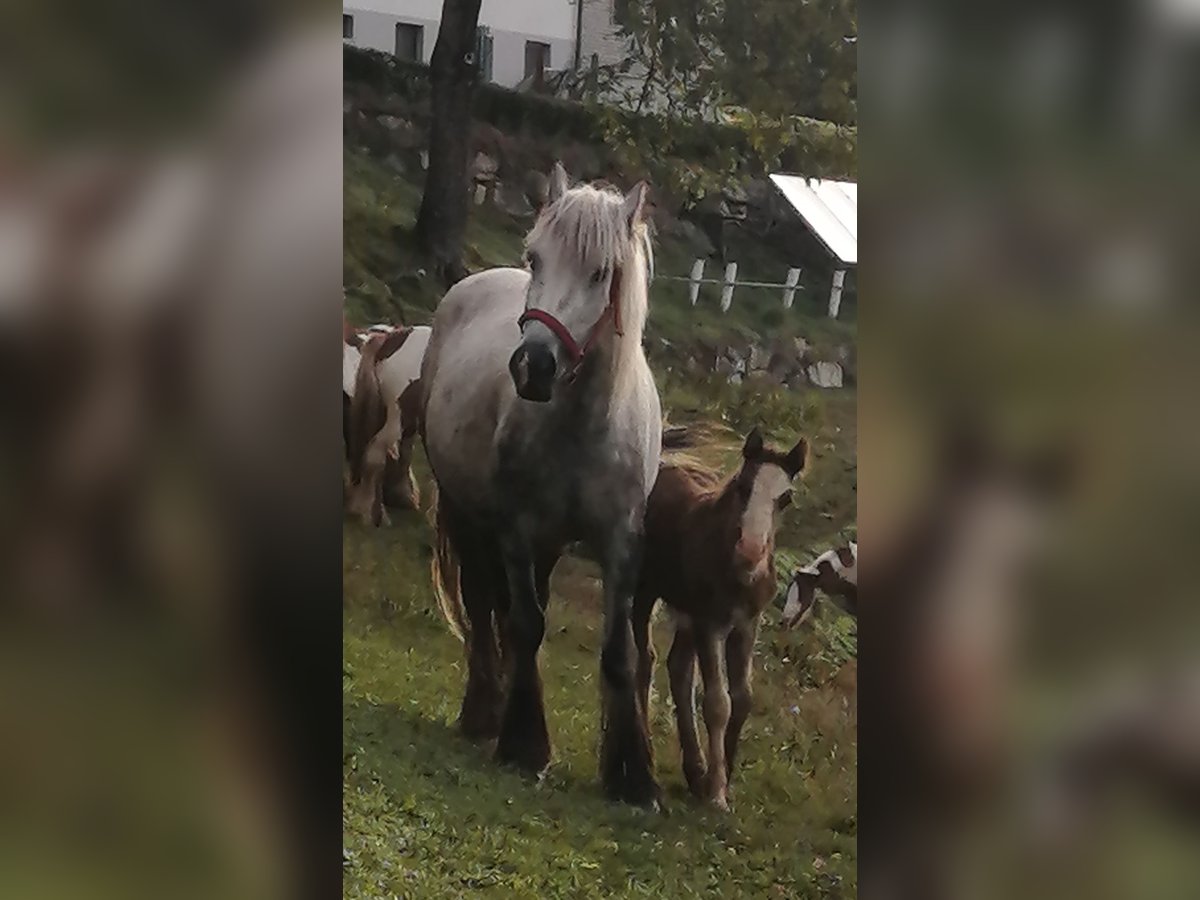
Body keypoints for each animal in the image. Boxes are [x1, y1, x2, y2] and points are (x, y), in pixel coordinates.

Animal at [422, 164, 667, 811]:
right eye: (536, 257)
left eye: (602, 272)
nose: (533, 365)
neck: (582, 426)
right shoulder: (515, 528)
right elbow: (525, 622)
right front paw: (524, 743)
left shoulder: (621, 541)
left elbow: (618, 649)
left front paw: (633, 776)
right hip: (467, 515)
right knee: (486, 605)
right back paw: (484, 711)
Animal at [628, 429, 806, 811]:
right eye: (742, 485)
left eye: (785, 498)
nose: (751, 551)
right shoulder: (709, 623)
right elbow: (717, 703)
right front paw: (717, 792)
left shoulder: (745, 625)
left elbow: (743, 698)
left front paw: (722, 773)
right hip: (647, 593)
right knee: (645, 662)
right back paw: (648, 748)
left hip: (687, 614)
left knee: (678, 669)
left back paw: (694, 770)